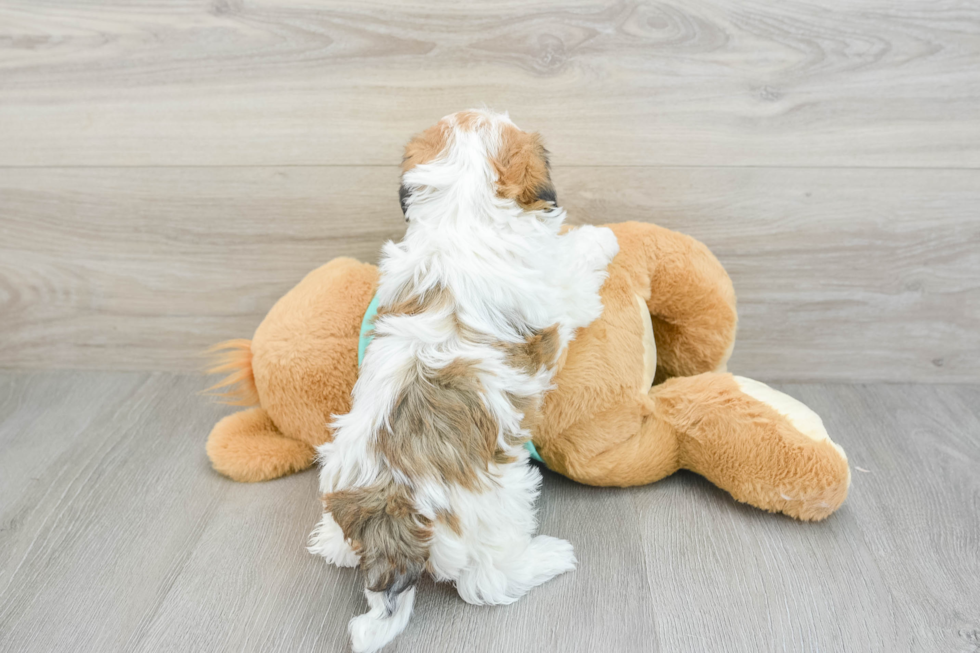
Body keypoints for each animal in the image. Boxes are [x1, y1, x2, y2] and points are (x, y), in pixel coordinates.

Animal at [310, 109, 616, 648]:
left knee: (338, 541)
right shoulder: (559, 290)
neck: (460, 216)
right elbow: (576, 266)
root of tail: (389, 511)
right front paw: (601, 238)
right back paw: (546, 558)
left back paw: (332, 543)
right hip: (499, 503)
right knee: (489, 582)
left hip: (337, 467)